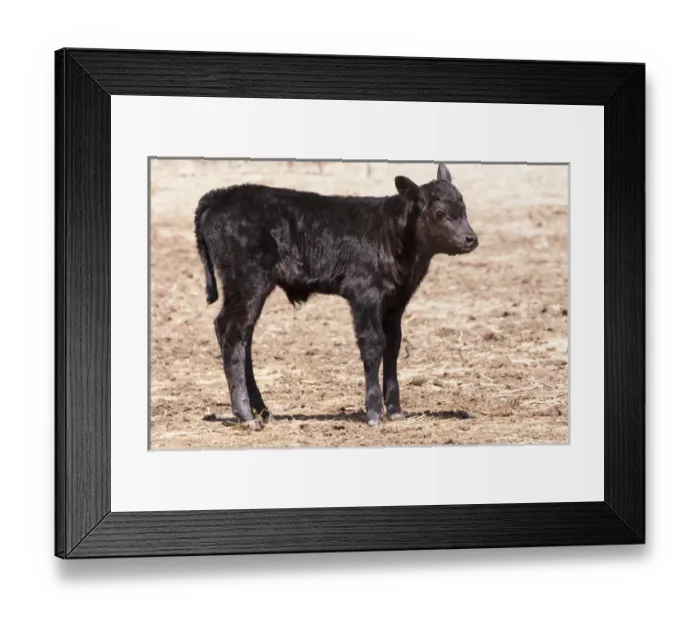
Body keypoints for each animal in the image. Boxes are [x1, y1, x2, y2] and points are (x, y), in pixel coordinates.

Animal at [194, 163, 478, 430]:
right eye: (440, 214)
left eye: (464, 209)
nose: (471, 239)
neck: (392, 235)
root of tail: (219, 195)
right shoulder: (365, 295)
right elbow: (373, 344)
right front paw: (374, 412)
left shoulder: (395, 303)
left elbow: (393, 345)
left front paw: (395, 410)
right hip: (247, 282)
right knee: (231, 332)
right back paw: (245, 415)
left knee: (244, 336)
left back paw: (263, 411)